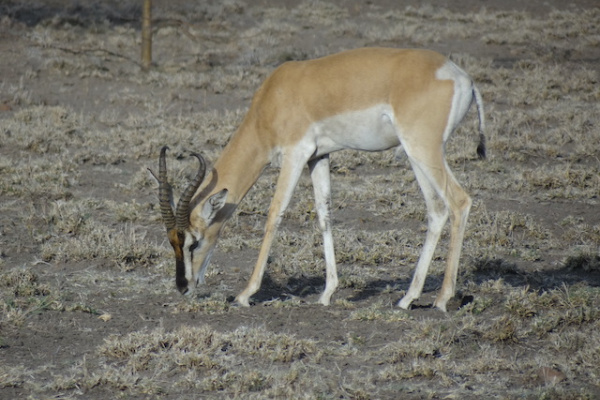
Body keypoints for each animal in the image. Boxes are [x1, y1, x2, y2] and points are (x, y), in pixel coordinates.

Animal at [152, 47, 486, 312]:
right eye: (172, 242)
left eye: (194, 241)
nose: (183, 287)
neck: (274, 98)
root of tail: (462, 78)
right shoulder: (318, 157)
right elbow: (324, 215)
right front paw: (327, 294)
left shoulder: (295, 154)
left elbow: (275, 214)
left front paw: (246, 294)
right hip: (416, 155)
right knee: (437, 210)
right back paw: (407, 298)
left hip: (423, 149)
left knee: (459, 202)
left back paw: (442, 299)